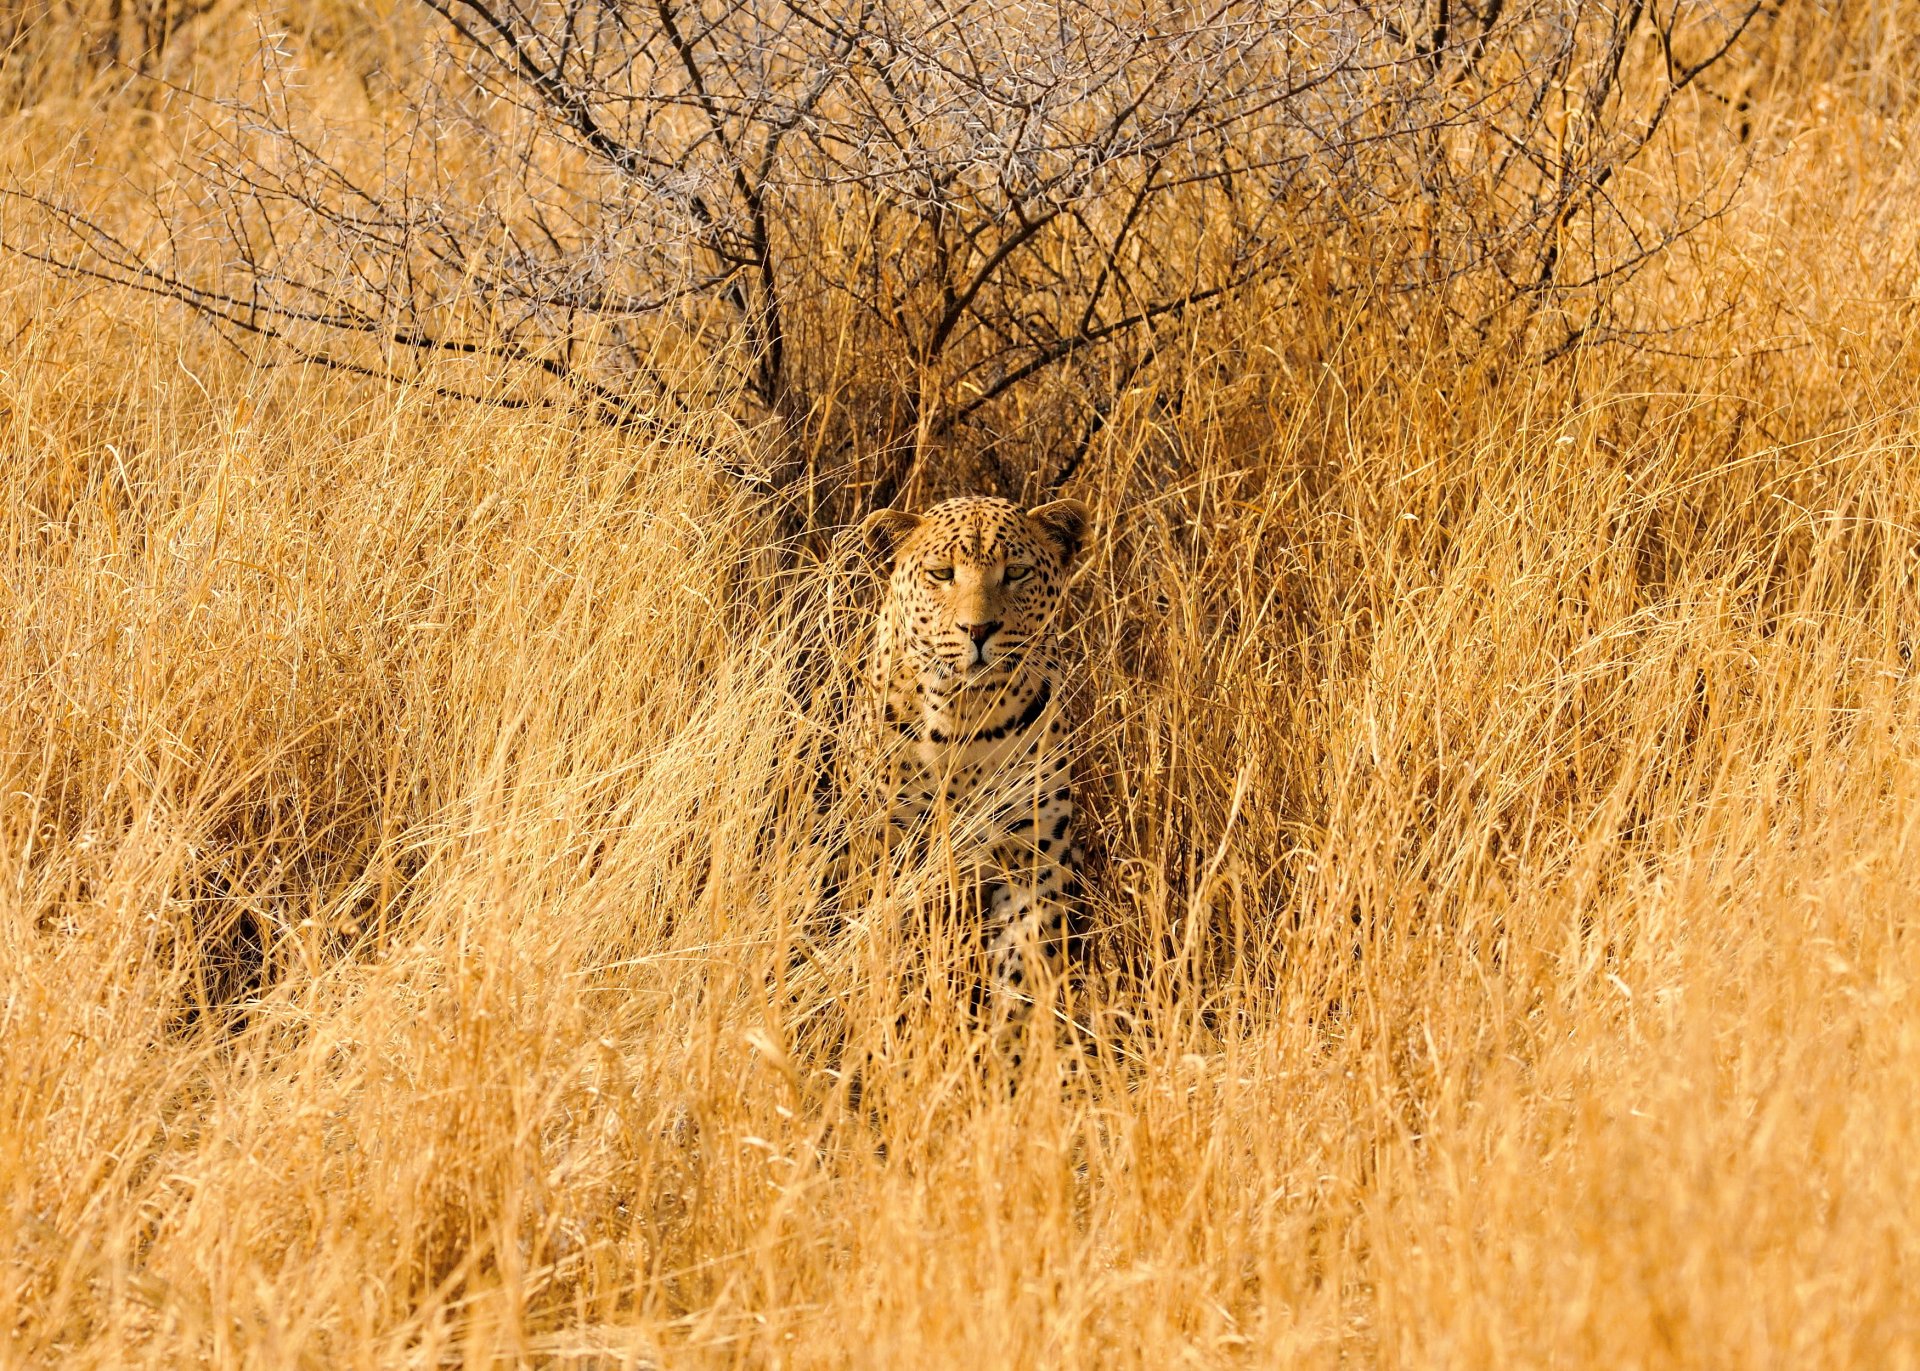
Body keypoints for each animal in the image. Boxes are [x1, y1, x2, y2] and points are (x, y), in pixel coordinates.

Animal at [855, 494, 1092, 1064]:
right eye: (942, 574)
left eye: (1017, 573)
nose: (979, 631)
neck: (967, 718)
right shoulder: (896, 854)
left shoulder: (1032, 860)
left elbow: (1021, 974)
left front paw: (1005, 1063)